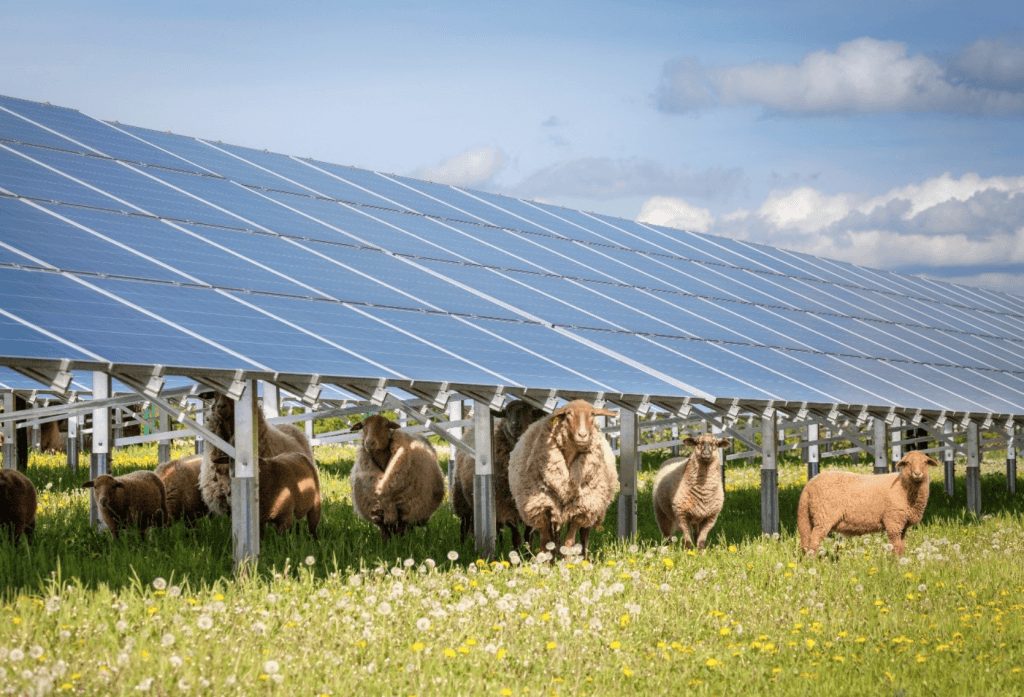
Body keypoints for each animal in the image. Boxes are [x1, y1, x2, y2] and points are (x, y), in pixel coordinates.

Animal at [454, 399, 548, 544]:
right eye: (506, 413)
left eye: (531, 411)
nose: (514, 425)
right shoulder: (504, 504)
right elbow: (515, 534)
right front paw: (518, 549)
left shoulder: (533, 504)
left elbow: (528, 534)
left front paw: (528, 549)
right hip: (461, 499)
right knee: (464, 523)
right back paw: (463, 544)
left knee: (497, 528)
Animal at [509, 399, 618, 556]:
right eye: (568, 414)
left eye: (592, 414)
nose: (583, 435)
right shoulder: (543, 507)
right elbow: (546, 542)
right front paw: (546, 560)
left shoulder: (580, 509)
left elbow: (569, 542)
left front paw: (567, 559)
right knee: (555, 538)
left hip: (591, 505)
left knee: (584, 536)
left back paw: (584, 557)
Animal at [794, 448, 937, 556]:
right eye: (907, 463)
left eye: (925, 462)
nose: (917, 474)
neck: (903, 488)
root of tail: (810, 484)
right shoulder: (893, 521)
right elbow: (896, 546)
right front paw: (896, 563)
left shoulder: (902, 525)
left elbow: (901, 546)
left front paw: (902, 560)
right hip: (824, 516)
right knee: (814, 540)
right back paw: (813, 561)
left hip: (809, 517)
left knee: (806, 539)